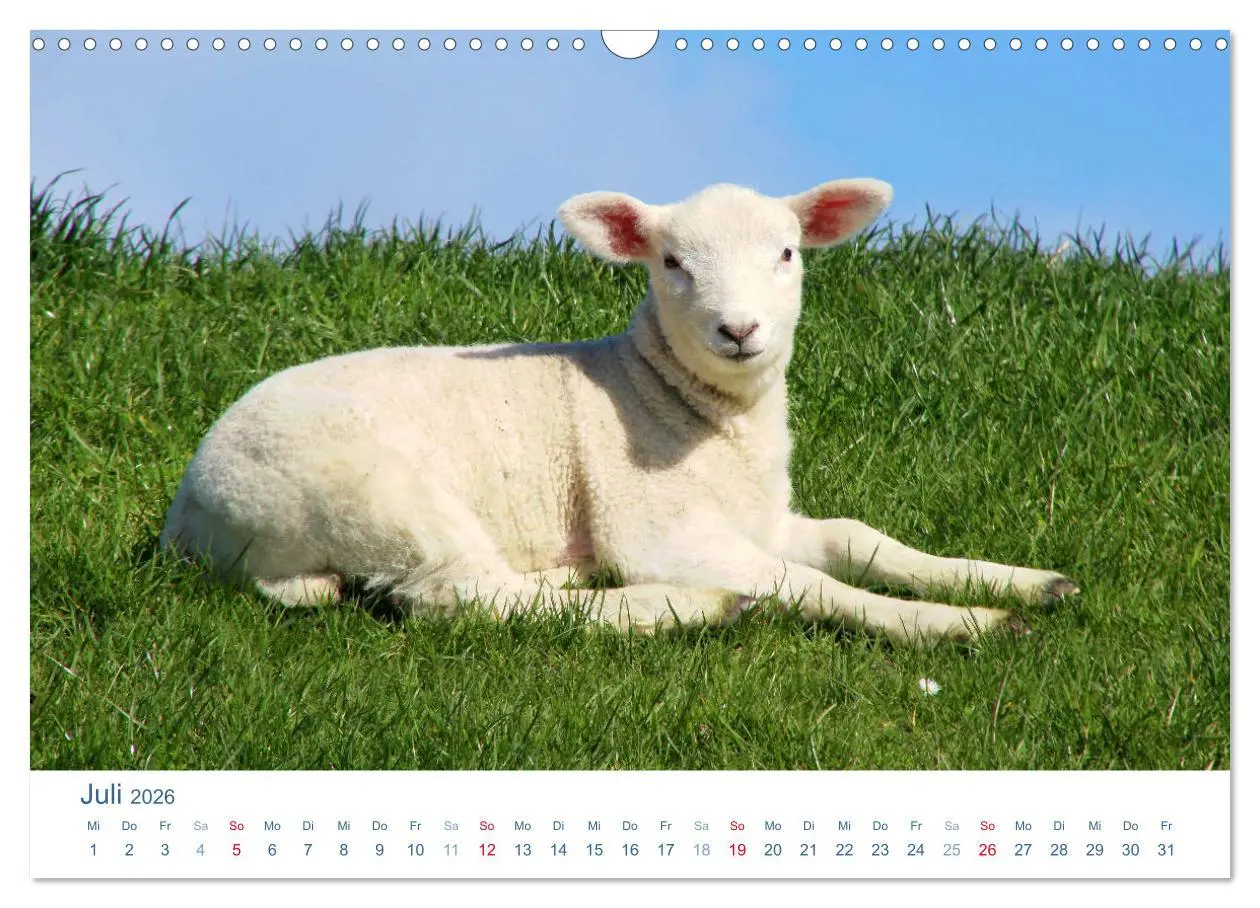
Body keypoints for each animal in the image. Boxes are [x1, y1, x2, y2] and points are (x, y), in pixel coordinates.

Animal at [160, 178, 1078, 644]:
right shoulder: (661, 527)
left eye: (787, 253)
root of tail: (187, 521)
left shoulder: (760, 517)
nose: (738, 329)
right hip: (374, 489)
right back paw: (686, 607)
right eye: (671, 262)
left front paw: (1020, 580)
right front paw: (951, 622)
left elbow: (861, 540)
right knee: (463, 597)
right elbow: (808, 583)